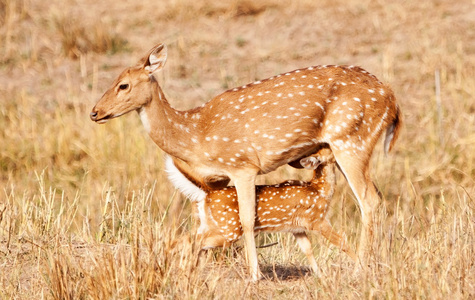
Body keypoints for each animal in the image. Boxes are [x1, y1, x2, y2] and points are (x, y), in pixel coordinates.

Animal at [167, 145, 356, 274]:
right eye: (328, 148)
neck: (320, 190)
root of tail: (207, 193)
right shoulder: (317, 219)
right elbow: (343, 242)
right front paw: (360, 265)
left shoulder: (296, 228)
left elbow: (307, 249)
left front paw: (319, 274)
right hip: (229, 229)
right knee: (192, 241)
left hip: (210, 224)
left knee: (184, 239)